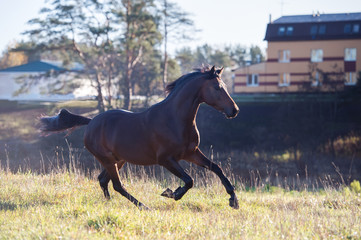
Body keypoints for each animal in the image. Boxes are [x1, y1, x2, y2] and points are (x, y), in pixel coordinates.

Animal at [40, 65, 239, 210]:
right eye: (217, 87)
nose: (234, 110)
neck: (174, 119)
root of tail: (91, 122)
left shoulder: (191, 153)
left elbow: (217, 168)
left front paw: (233, 200)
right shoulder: (166, 159)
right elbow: (189, 180)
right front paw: (171, 193)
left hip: (118, 160)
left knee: (103, 180)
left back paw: (110, 203)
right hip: (108, 159)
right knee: (117, 185)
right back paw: (143, 206)